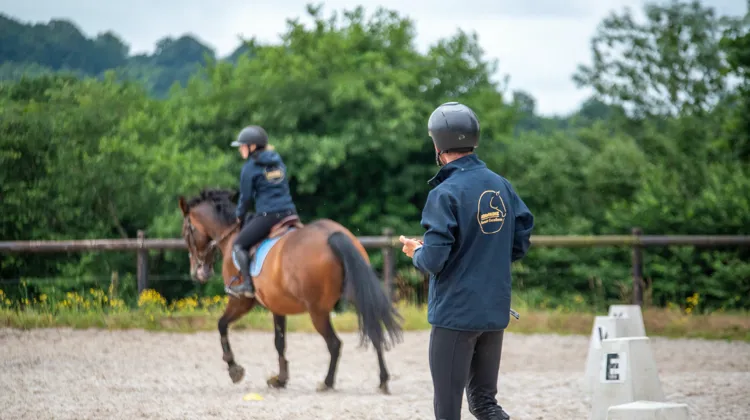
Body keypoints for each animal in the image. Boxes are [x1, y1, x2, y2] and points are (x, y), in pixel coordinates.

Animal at [177, 188, 403, 393]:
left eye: (186, 231)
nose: (198, 273)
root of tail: (332, 235)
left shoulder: (241, 301)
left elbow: (221, 325)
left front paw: (234, 369)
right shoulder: (277, 305)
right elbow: (279, 342)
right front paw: (280, 379)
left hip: (317, 311)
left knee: (334, 343)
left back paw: (327, 383)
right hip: (358, 296)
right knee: (374, 331)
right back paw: (383, 380)